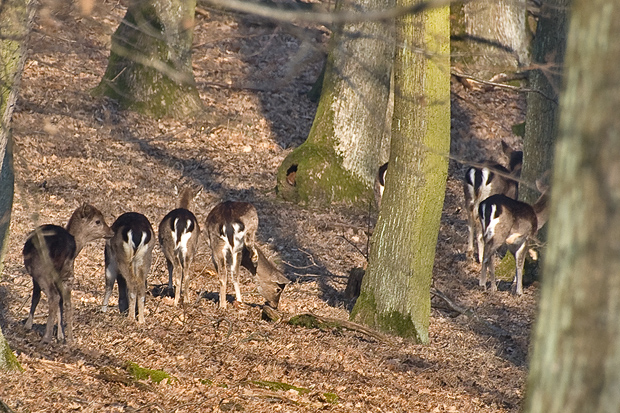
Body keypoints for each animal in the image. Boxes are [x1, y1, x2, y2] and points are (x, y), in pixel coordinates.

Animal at [23, 203, 113, 342]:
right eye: (98, 221)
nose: (111, 232)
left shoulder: (35, 275)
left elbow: (35, 297)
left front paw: (28, 325)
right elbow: (61, 303)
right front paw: (61, 335)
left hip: (42, 271)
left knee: (54, 296)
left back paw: (46, 338)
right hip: (68, 271)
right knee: (66, 301)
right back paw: (70, 339)